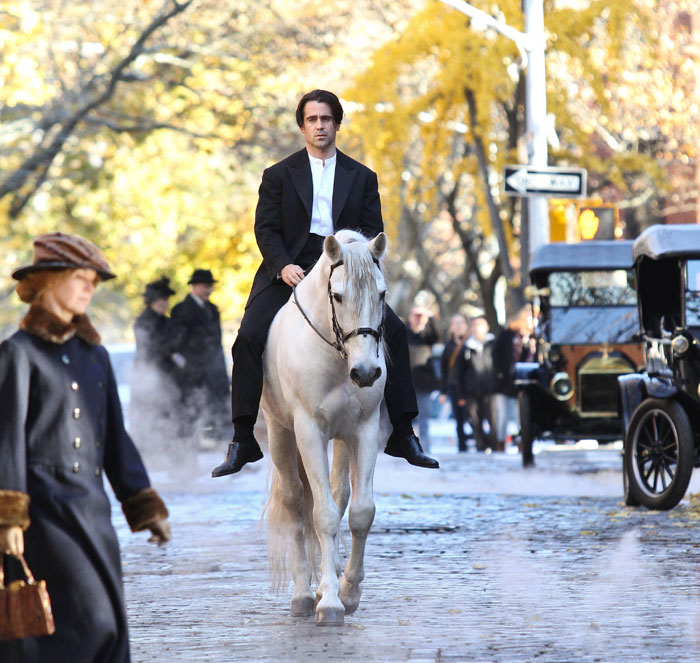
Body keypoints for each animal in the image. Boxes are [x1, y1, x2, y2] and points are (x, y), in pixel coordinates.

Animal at [262, 230, 386, 628]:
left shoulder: (364, 430)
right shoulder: (309, 431)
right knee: (295, 502)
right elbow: (323, 515)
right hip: (280, 432)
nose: (366, 373)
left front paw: (348, 592)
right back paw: (304, 594)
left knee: (337, 493)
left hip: (342, 439)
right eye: (338, 295)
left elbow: (360, 512)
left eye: (381, 294)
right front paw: (330, 602)